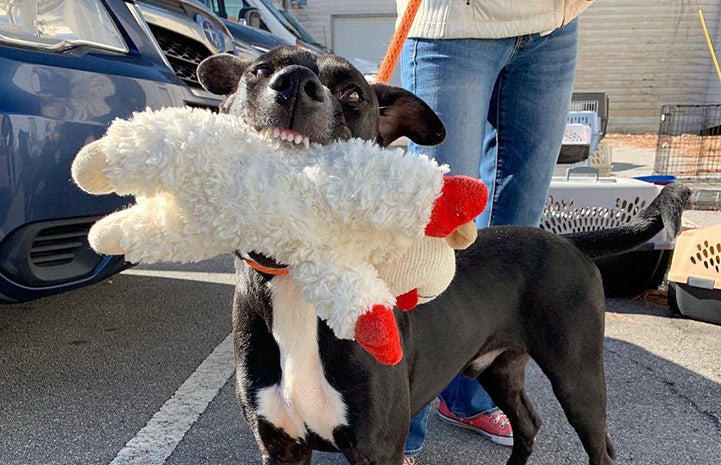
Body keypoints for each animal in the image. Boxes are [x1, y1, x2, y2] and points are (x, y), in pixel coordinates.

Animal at [194, 44, 688, 464]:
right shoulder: (280, 446)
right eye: (259, 71)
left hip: (577, 375)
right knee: (529, 423)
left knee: (600, 446)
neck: (299, 276)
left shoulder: (376, 448)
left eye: (352, 93)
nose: (294, 83)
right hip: (501, 367)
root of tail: (568, 241)